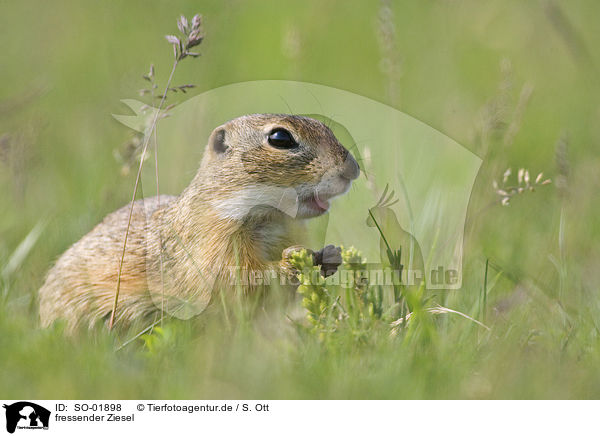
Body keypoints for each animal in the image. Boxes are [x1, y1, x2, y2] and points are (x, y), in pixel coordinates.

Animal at [41, 112, 360, 330]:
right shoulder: (211, 246)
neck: (271, 218)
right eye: (280, 138)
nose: (353, 169)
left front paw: (331, 254)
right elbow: (241, 282)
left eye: (325, 127)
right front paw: (292, 260)